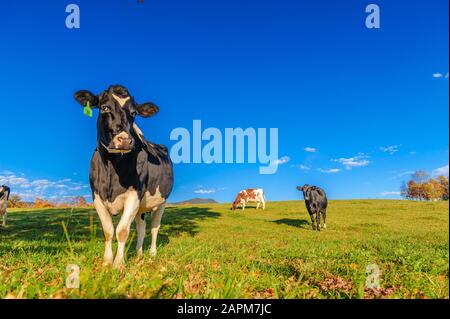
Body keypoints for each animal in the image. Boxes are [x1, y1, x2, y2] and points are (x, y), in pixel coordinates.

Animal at [73, 85, 173, 270]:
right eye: (104, 107)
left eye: (134, 113)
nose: (125, 140)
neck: (111, 168)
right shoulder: (97, 196)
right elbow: (108, 230)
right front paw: (107, 262)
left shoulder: (134, 194)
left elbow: (122, 230)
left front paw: (119, 264)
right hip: (141, 208)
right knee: (142, 227)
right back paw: (139, 254)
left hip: (162, 201)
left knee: (155, 227)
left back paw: (152, 254)